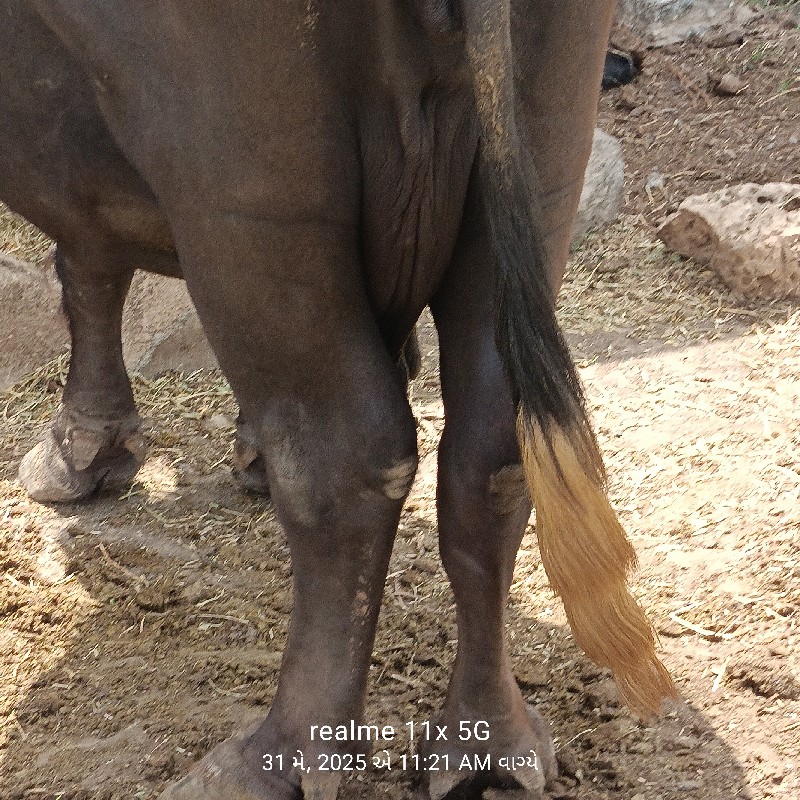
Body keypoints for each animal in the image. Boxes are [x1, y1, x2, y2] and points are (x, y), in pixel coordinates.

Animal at [0, 2, 674, 798]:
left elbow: (86, 259)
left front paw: (82, 453)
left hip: (245, 192)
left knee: (343, 462)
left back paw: (271, 760)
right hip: (543, 158)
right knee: (493, 455)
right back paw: (487, 748)